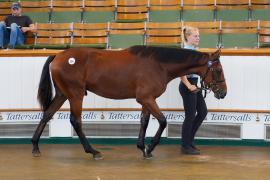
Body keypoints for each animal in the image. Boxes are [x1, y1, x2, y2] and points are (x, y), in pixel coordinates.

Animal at [31, 45, 226, 160]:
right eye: (217, 70)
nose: (223, 92)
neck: (159, 64)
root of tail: (58, 56)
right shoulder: (147, 98)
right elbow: (162, 121)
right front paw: (150, 147)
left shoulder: (147, 100)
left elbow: (144, 121)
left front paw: (143, 148)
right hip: (75, 94)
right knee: (76, 121)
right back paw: (93, 151)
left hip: (63, 94)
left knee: (47, 114)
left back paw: (35, 146)